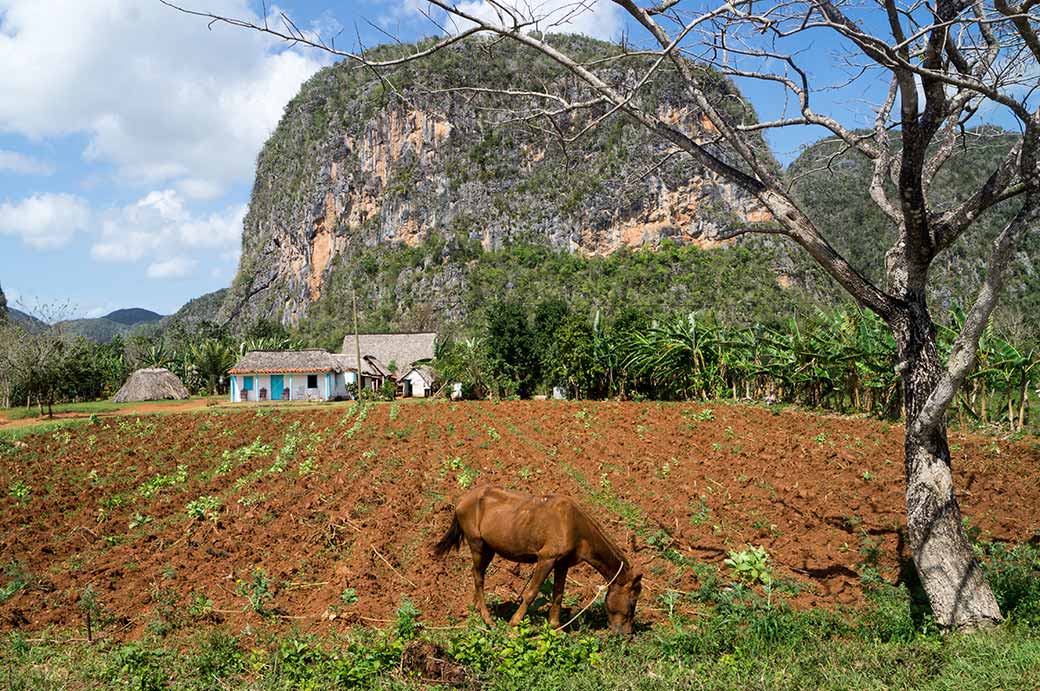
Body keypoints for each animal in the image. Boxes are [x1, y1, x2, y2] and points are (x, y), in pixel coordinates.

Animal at [430, 482, 640, 632]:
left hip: (489, 548)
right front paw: (514, 624)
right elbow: (532, 592)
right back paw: (487, 618)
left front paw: (555, 628)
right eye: (632, 603)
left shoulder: (562, 563)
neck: (574, 526)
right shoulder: (546, 559)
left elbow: (558, 594)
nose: (627, 634)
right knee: (478, 576)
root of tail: (462, 501)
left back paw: (476, 610)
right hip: (477, 544)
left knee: (478, 574)